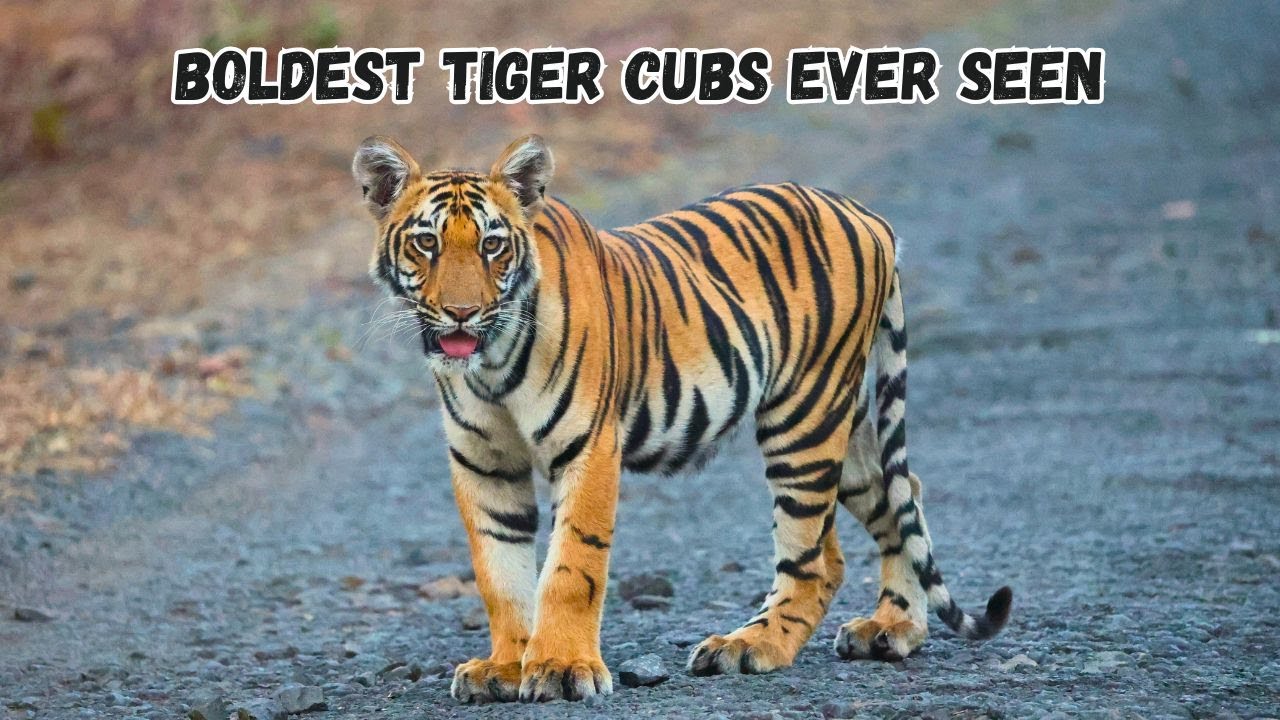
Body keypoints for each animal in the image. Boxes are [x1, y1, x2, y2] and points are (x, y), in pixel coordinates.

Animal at [352, 133, 1012, 704]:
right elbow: (501, 571)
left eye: (493, 245)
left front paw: (563, 668)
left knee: (815, 557)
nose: (462, 313)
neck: (489, 362)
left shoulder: (589, 447)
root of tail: (866, 214)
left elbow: (571, 567)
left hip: (806, 415)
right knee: (902, 495)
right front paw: (506, 666)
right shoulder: (483, 463)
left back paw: (751, 646)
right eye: (427, 243)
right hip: (840, 428)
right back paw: (892, 630)